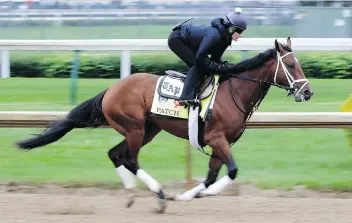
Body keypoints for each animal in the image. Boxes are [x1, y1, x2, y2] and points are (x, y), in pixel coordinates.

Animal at [15, 37, 314, 213]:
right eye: (290, 64)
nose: (308, 92)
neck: (235, 93)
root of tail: (111, 89)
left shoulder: (222, 143)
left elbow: (211, 176)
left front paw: (187, 196)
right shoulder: (217, 139)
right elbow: (232, 171)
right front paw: (198, 195)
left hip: (147, 129)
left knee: (114, 154)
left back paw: (131, 195)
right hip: (135, 129)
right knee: (129, 159)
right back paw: (158, 195)